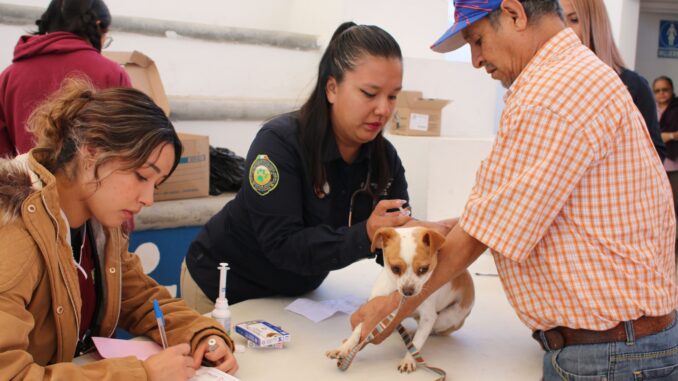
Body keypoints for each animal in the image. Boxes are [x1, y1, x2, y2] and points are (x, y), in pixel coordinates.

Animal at [326, 226, 476, 372]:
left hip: (445, 319)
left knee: (434, 331)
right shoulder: (371, 311)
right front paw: (344, 348)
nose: (408, 291)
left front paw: (409, 360)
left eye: (424, 269)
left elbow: (416, 343)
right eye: (395, 268)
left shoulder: (428, 317)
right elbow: (359, 330)